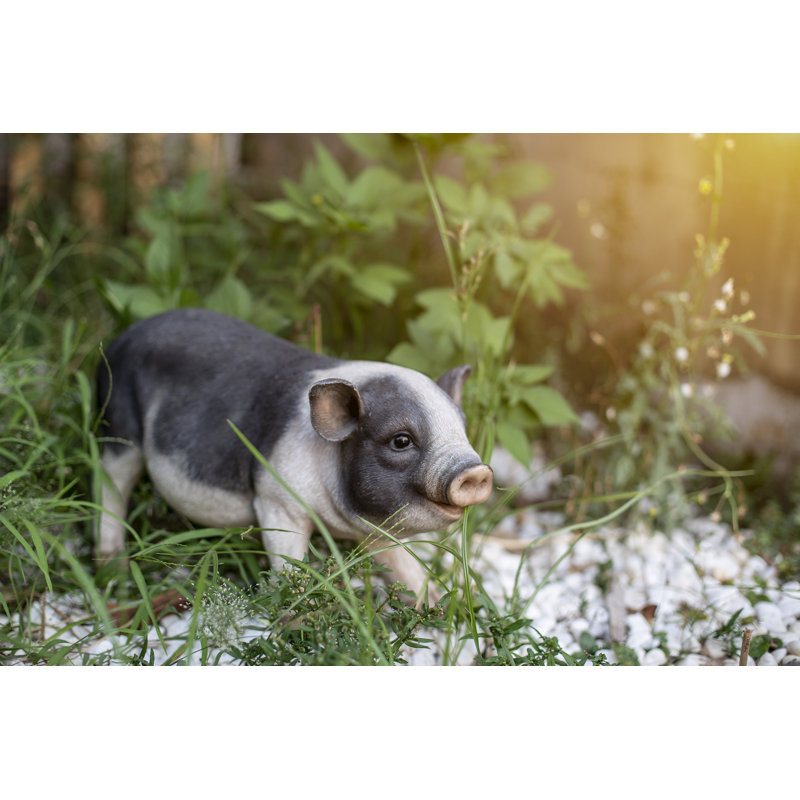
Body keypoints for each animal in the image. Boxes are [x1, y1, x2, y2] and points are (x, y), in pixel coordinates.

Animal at [95, 308, 493, 601]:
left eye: (462, 426)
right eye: (400, 440)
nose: (475, 471)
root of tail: (122, 337)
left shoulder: (379, 529)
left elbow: (401, 563)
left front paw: (434, 607)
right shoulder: (277, 500)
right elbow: (288, 563)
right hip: (116, 422)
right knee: (111, 486)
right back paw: (113, 571)